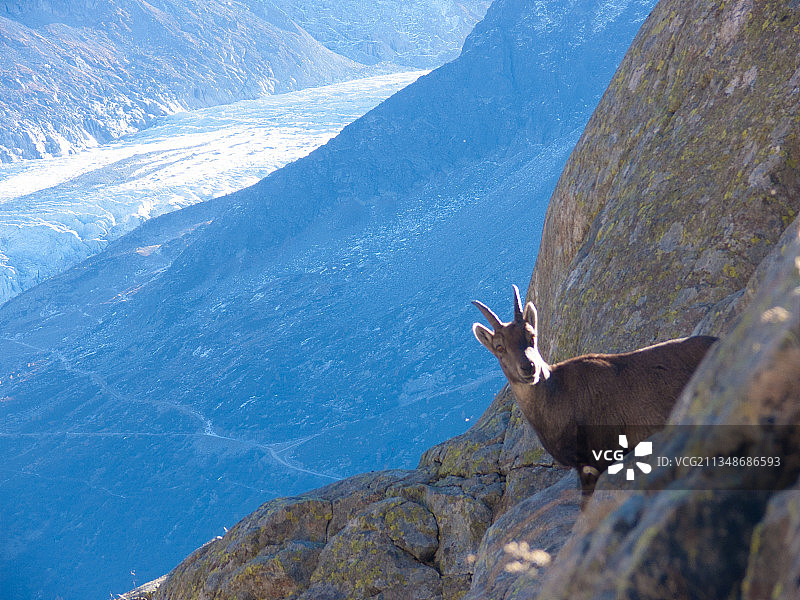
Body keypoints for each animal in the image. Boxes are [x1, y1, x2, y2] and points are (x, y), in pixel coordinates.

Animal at [472, 285, 717, 503]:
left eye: (531, 335)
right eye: (499, 347)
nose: (529, 367)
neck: (557, 396)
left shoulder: (603, 456)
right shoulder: (586, 467)